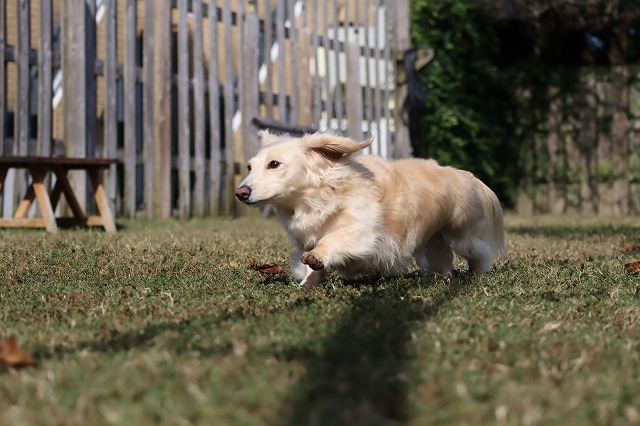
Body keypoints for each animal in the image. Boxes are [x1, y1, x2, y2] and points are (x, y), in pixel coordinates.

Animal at [235, 131, 506, 286]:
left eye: (274, 164)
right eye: (249, 167)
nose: (240, 192)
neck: (319, 200)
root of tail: (462, 175)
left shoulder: (363, 233)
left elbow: (331, 240)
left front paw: (318, 256)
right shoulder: (304, 239)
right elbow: (310, 268)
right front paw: (307, 286)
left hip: (464, 235)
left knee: (479, 254)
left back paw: (477, 276)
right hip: (431, 242)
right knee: (443, 258)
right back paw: (443, 278)